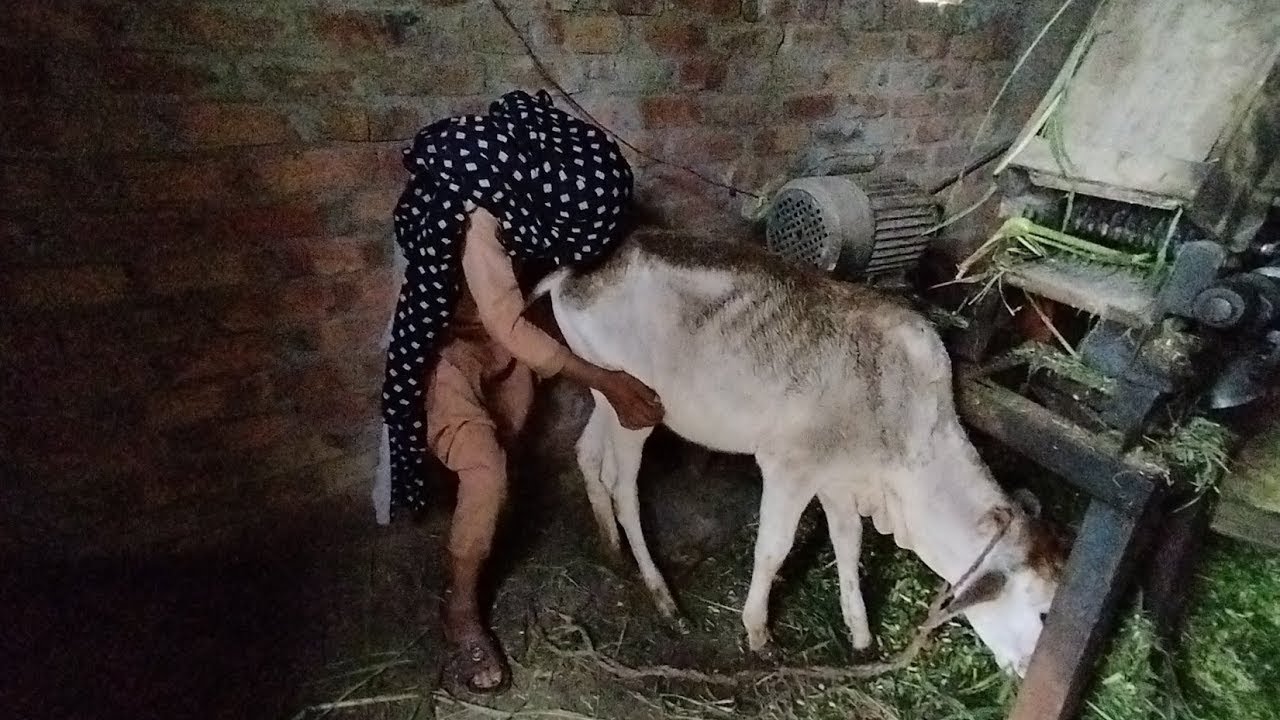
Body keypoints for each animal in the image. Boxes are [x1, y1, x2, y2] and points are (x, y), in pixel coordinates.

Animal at [532, 231, 1067, 676]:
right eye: (1043, 610)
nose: (1027, 673)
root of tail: (577, 270)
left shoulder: (840, 480)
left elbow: (848, 544)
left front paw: (860, 633)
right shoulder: (791, 466)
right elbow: (774, 548)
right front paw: (758, 632)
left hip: (603, 393)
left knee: (588, 453)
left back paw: (610, 545)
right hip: (636, 409)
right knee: (624, 488)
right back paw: (662, 594)